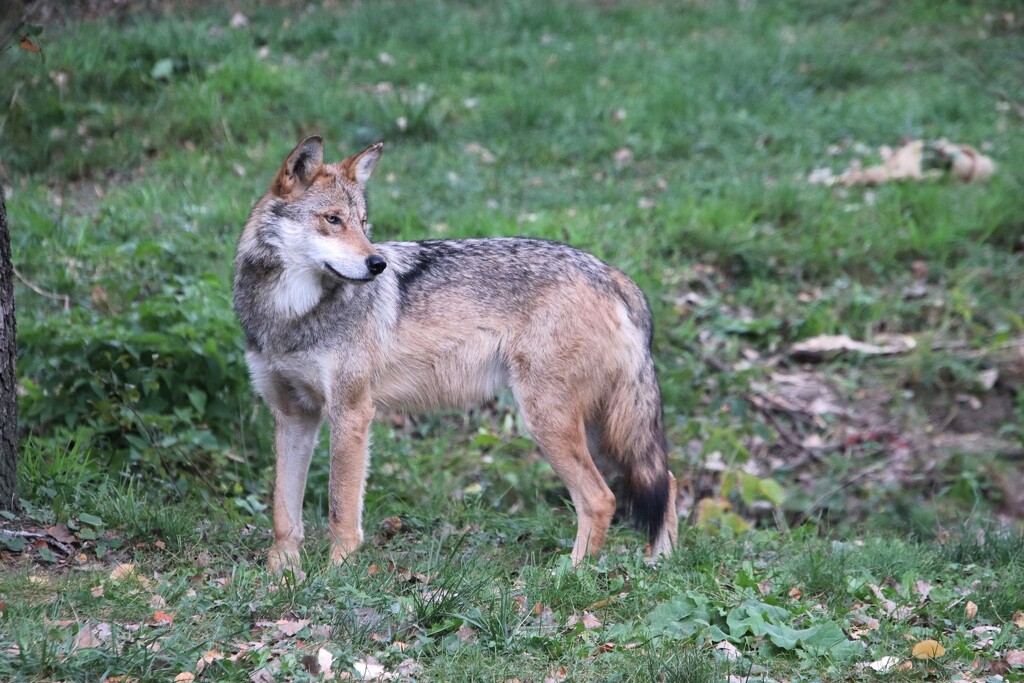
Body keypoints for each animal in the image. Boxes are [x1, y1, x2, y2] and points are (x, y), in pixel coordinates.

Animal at [234, 135, 679, 573]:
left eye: (362, 223)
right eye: (332, 220)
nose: (378, 264)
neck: (289, 314)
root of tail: (611, 273)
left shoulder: (351, 412)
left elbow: (341, 509)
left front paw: (335, 575)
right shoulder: (293, 415)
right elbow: (283, 512)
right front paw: (282, 575)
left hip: (551, 423)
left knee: (603, 498)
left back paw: (572, 573)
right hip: (599, 428)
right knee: (666, 480)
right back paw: (661, 565)